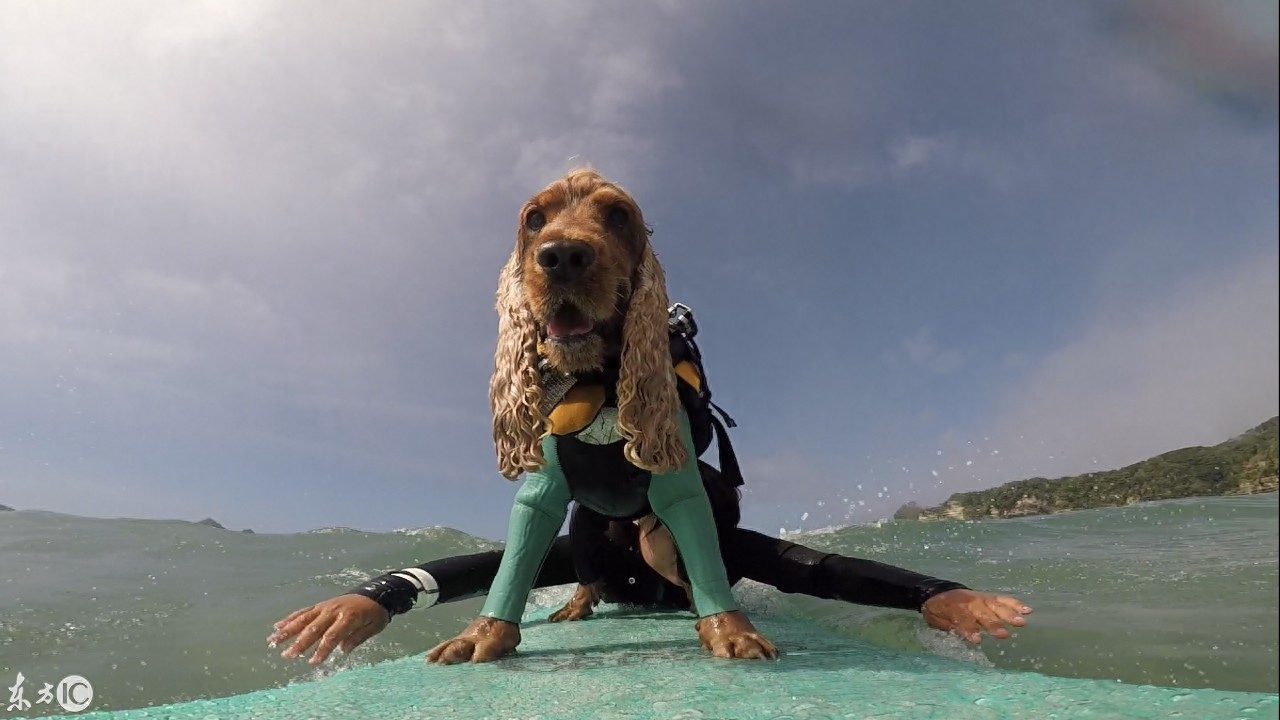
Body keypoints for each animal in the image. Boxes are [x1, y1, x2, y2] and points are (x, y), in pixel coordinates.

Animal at [424, 167, 773, 661]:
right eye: (534, 219)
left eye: (618, 215)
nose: (562, 257)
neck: (599, 382)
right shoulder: (544, 485)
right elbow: (519, 552)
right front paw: (482, 634)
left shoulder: (677, 478)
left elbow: (694, 530)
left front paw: (731, 630)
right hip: (587, 523)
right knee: (588, 570)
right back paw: (576, 604)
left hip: (664, 533)